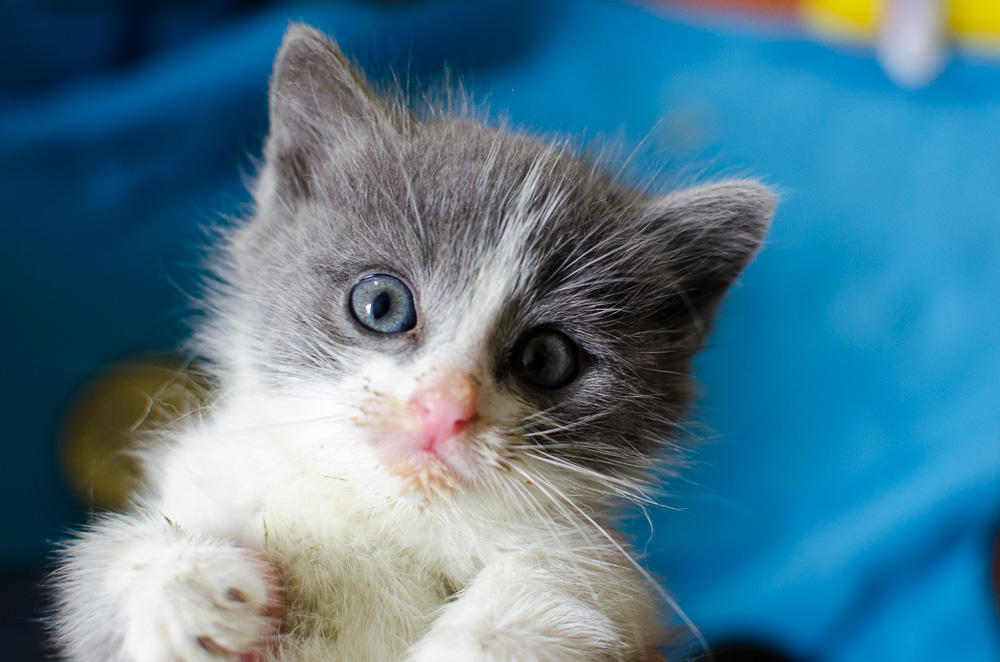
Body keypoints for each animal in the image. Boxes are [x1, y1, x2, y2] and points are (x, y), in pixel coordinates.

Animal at [50, 23, 776, 662]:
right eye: (382, 305)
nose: (443, 408)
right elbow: (99, 569)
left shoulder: (608, 577)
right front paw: (187, 591)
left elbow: (568, 583)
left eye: (547, 358)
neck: (380, 515)